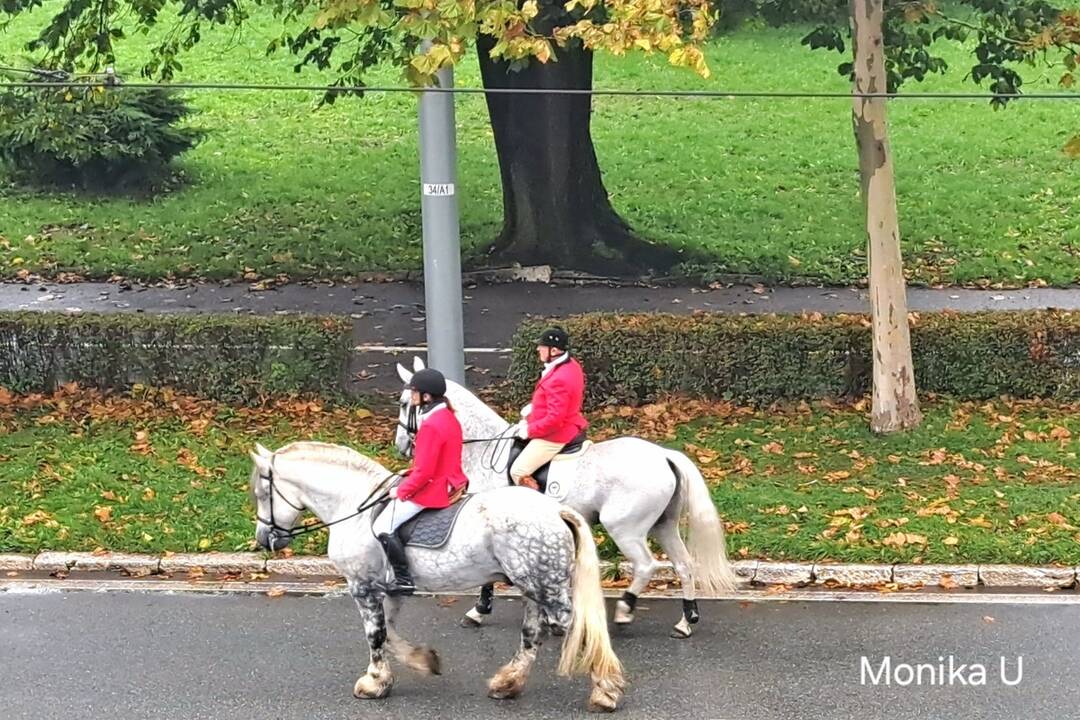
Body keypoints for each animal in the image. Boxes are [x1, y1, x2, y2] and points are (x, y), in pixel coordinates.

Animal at [397, 358, 743, 639]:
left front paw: (478, 612)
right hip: (663, 525)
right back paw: (686, 621)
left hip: (624, 528)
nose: (401, 446)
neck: (484, 449)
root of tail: (664, 455)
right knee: (684, 565)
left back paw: (625, 612)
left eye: (403, 402)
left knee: (646, 565)